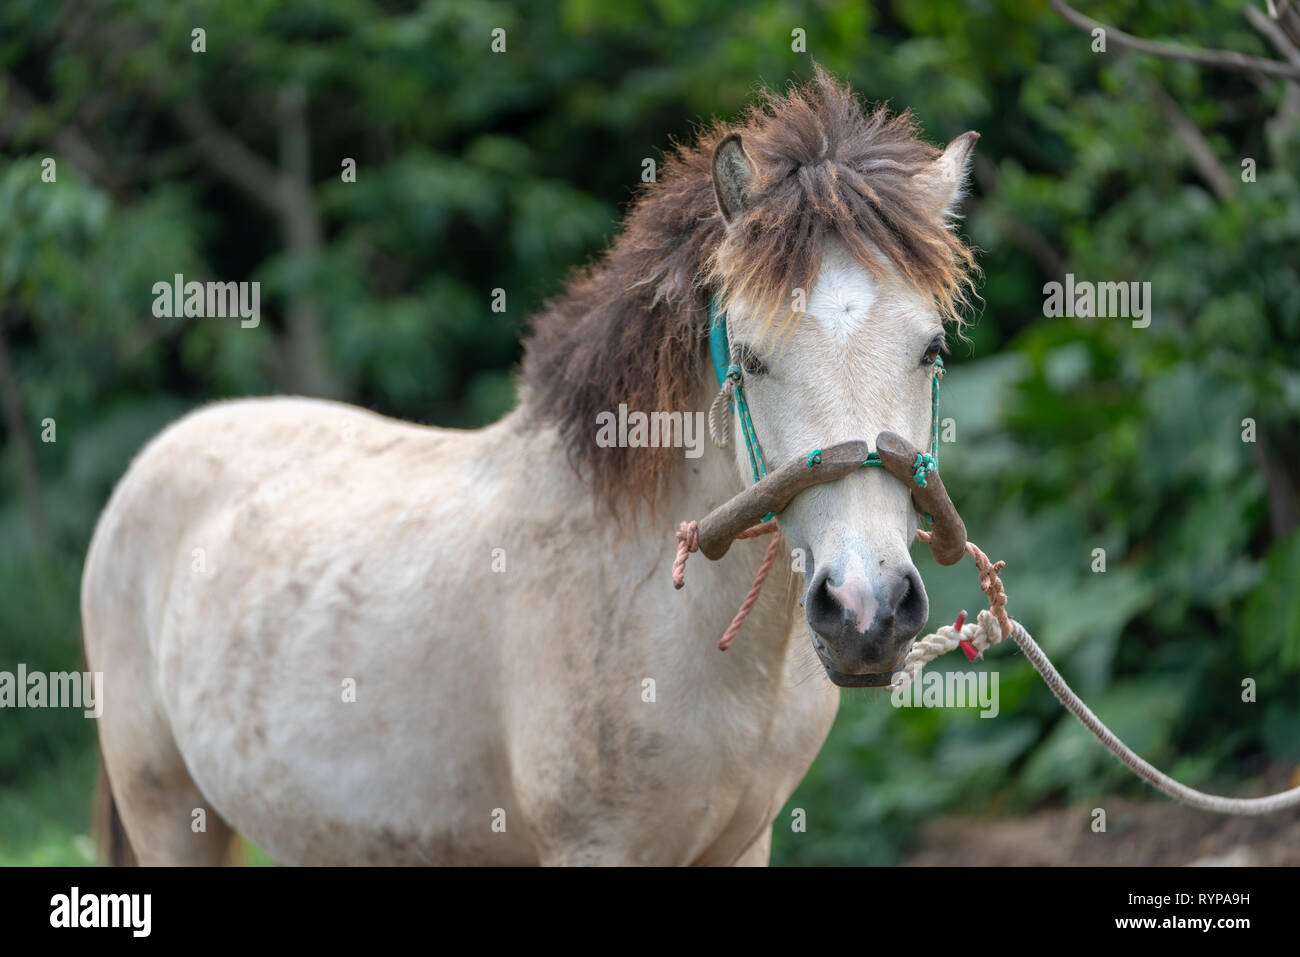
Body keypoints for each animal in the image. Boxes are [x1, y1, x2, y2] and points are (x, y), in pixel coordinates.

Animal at [81, 72, 977, 868]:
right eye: (751, 360)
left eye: (931, 348)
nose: (866, 609)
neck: (652, 589)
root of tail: (151, 464)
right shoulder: (594, 846)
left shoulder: (741, 845)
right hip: (170, 816)